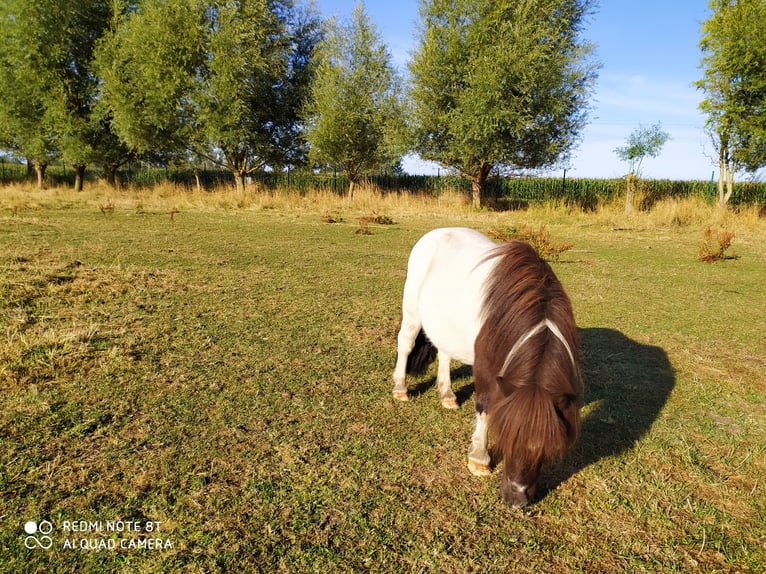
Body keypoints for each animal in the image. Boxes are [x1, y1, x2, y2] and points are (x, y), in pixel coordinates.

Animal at [392, 227, 584, 506]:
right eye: (507, 439)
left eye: (546, 449)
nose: (516, 499)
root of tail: (436, 234)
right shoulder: (486, 369)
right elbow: (484, 406)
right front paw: (479, 459)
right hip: (412, 313)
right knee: (405, 344)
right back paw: (400, 389)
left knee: (444, 353)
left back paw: (447, 394)